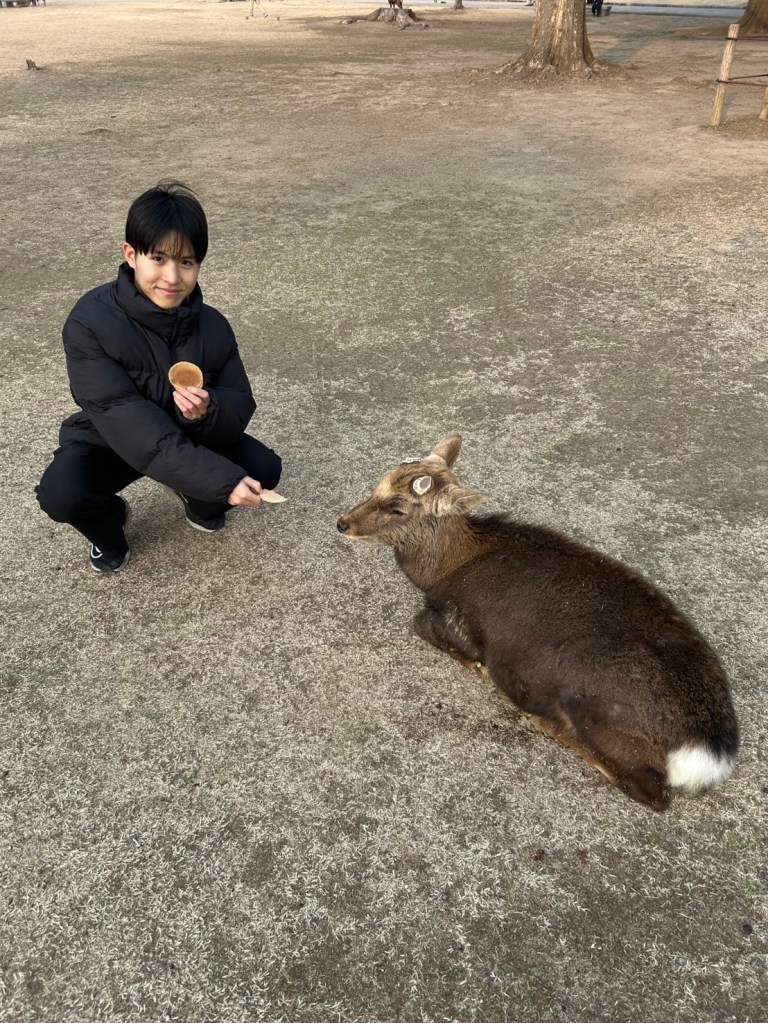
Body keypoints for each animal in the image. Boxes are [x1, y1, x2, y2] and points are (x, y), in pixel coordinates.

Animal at [336, 436, 739, 811]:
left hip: (595, 707)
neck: (443, 570)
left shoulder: (458, 620)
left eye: (397, 508)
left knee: (649, 793)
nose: (342, 523)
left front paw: (479, 669)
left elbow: (421, 625)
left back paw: (546, 723)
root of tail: (710, 754)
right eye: (378, 483)